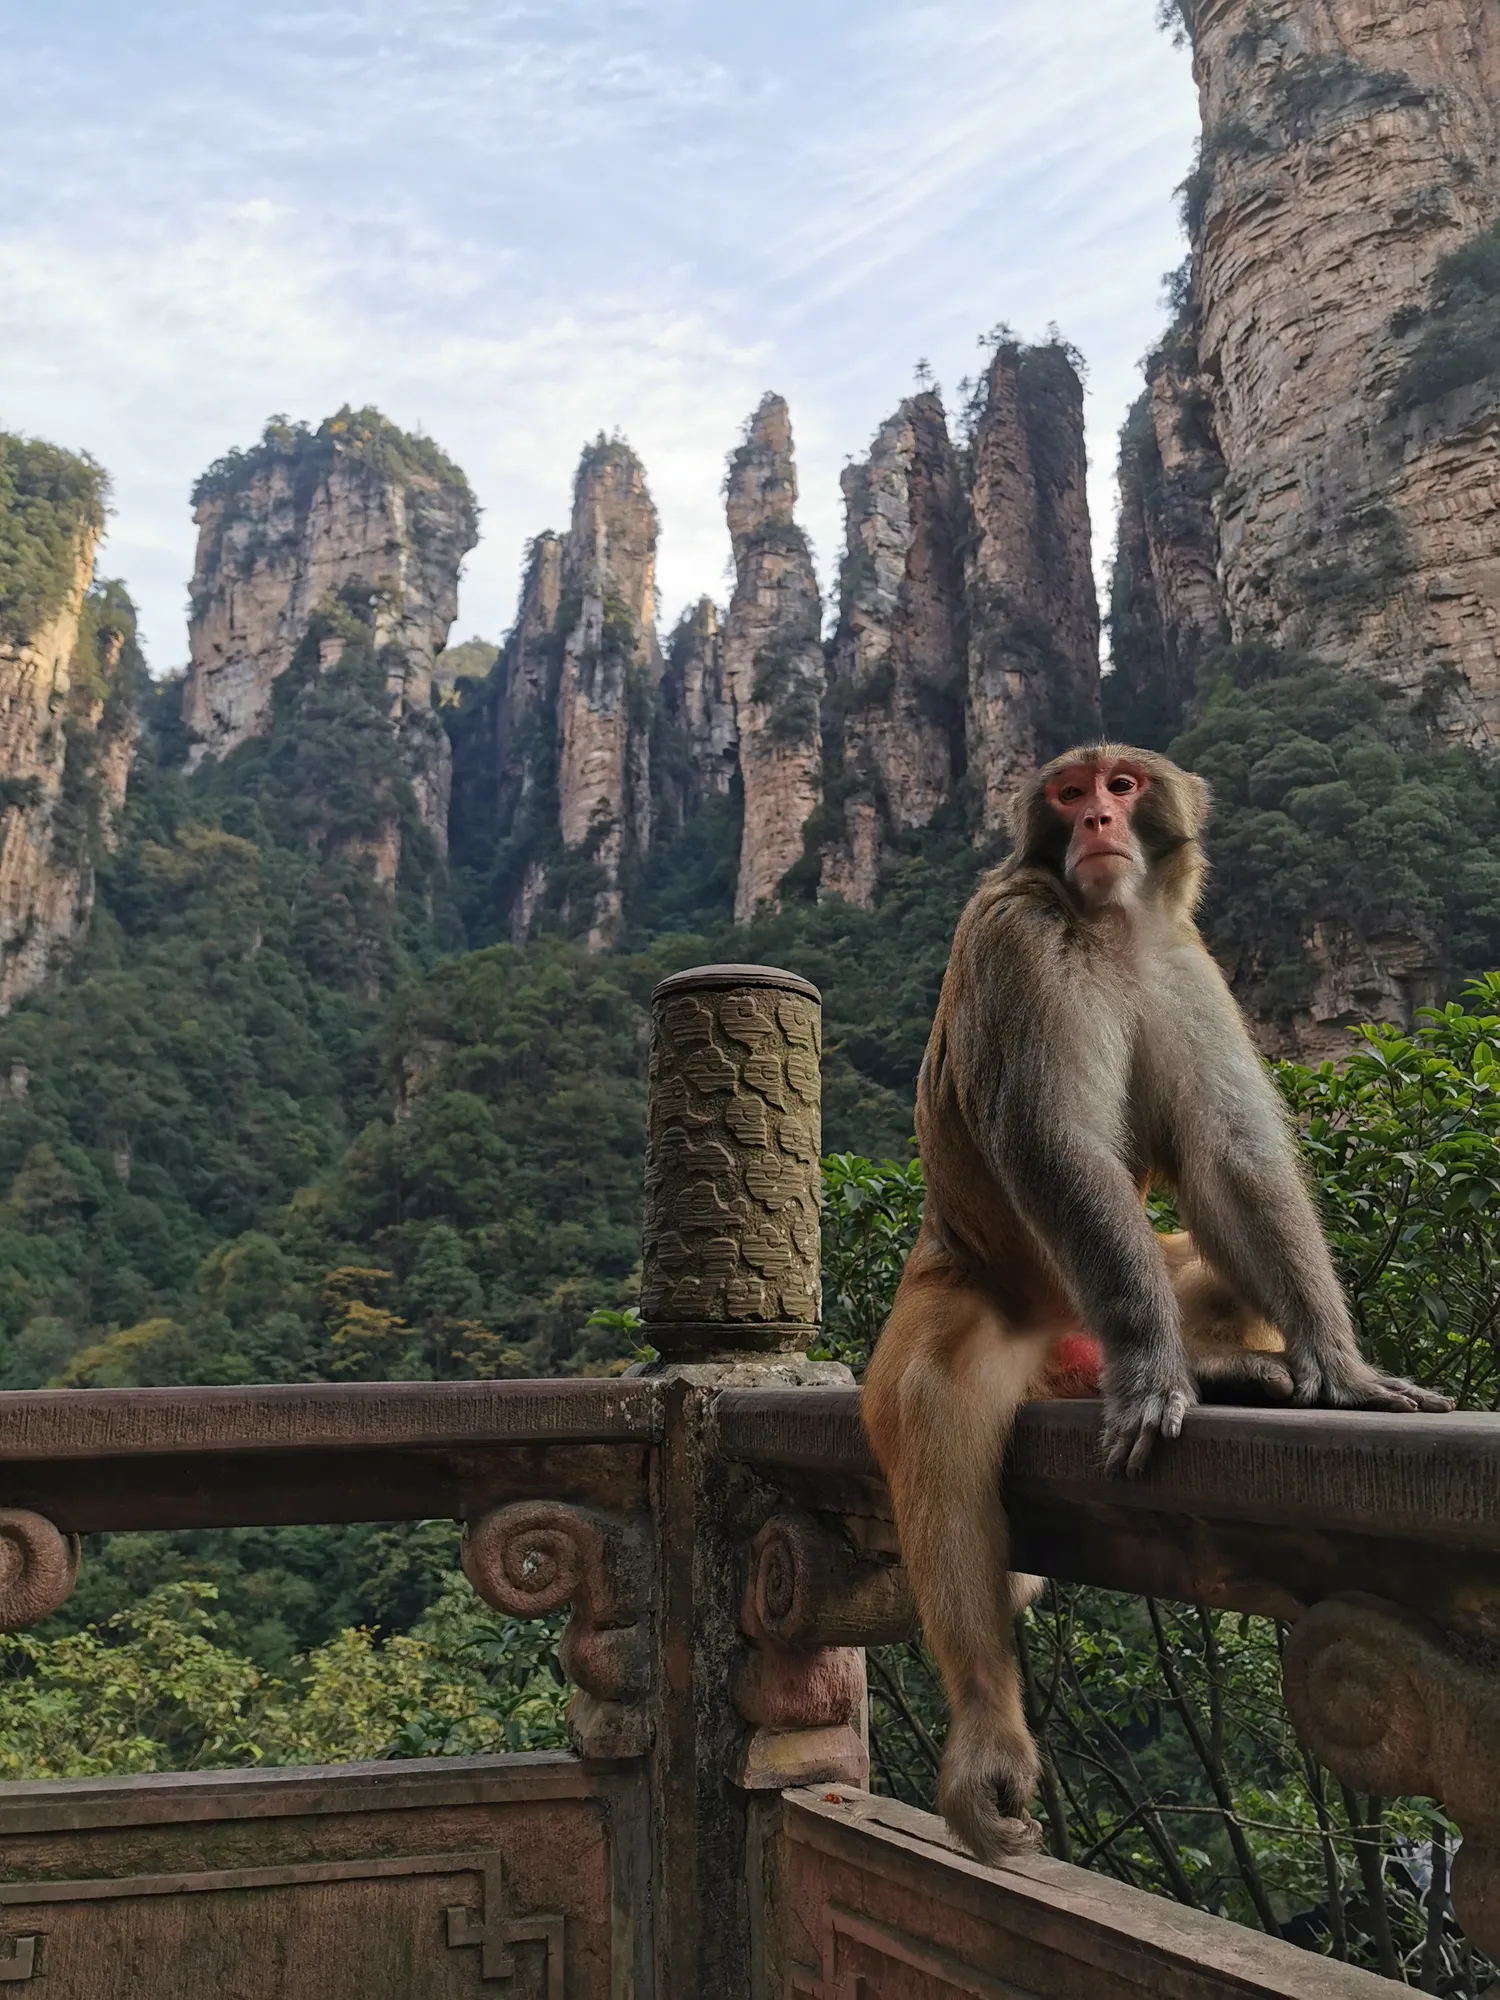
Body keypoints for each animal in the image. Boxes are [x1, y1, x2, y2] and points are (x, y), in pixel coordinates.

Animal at [861, 742, 1452, 1867]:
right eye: (1067, 791)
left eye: (1122, 785)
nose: (1095, 817)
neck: (1109, 928)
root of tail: (1064, 1340)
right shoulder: (1017, 935)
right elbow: (1054, 1143)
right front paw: (1151, 1368)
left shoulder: (1186, 964)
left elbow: (1231, 1158)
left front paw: (1340, 1367)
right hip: (977, 1285)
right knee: (932, 1403)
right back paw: (988, 1732)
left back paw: (1238, 1367)